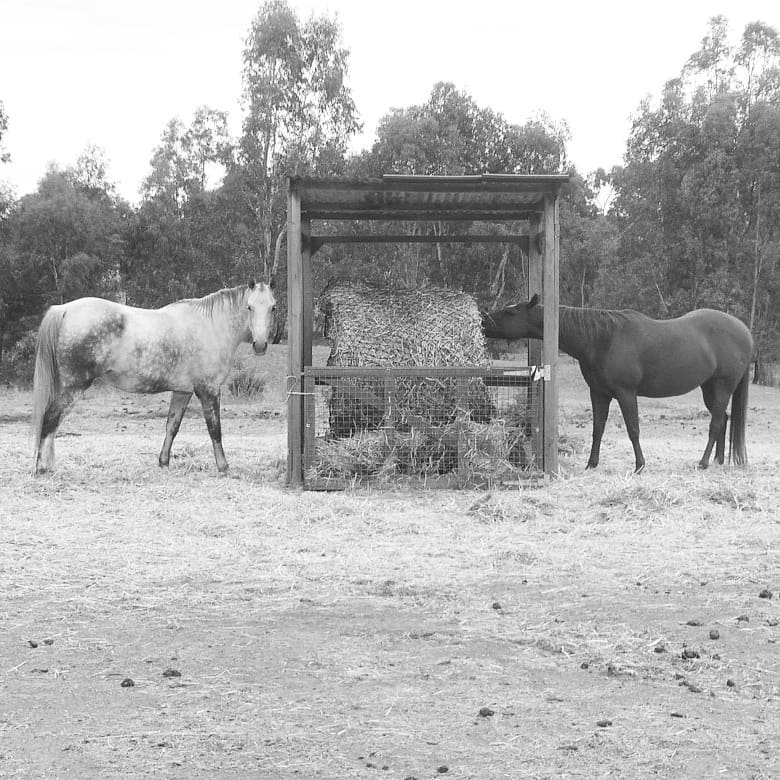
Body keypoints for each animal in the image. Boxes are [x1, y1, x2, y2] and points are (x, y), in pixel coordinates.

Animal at [484, 296, 752, 472]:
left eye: (510, 313)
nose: (484, 322)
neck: (602, 339)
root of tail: (745, 332)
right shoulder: (599, 393)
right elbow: (597, 429)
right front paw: (591, 464)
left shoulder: (626, 393)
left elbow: (633, 429)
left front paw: (639, 465)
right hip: (709, 388)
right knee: (723, 419)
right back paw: (717, 461)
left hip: (723, 386)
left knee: (716, 423)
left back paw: (703, 462)